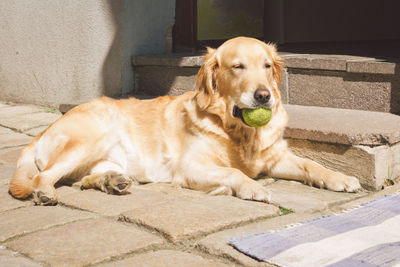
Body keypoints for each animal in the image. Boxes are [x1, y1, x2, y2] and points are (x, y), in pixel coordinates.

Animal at [9, 36, 360, 206]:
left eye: (266, 66)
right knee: (44, 177)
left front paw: (339, 178)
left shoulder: (275, 158)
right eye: (237, 66)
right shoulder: (191, 166)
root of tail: (40, 134)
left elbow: (311, 165)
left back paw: (112, 181)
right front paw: (251, 187)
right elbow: (233, 172)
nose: (264, 96)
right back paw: (47, 194)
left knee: (81, 179)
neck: (238, 131)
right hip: (94, 133)